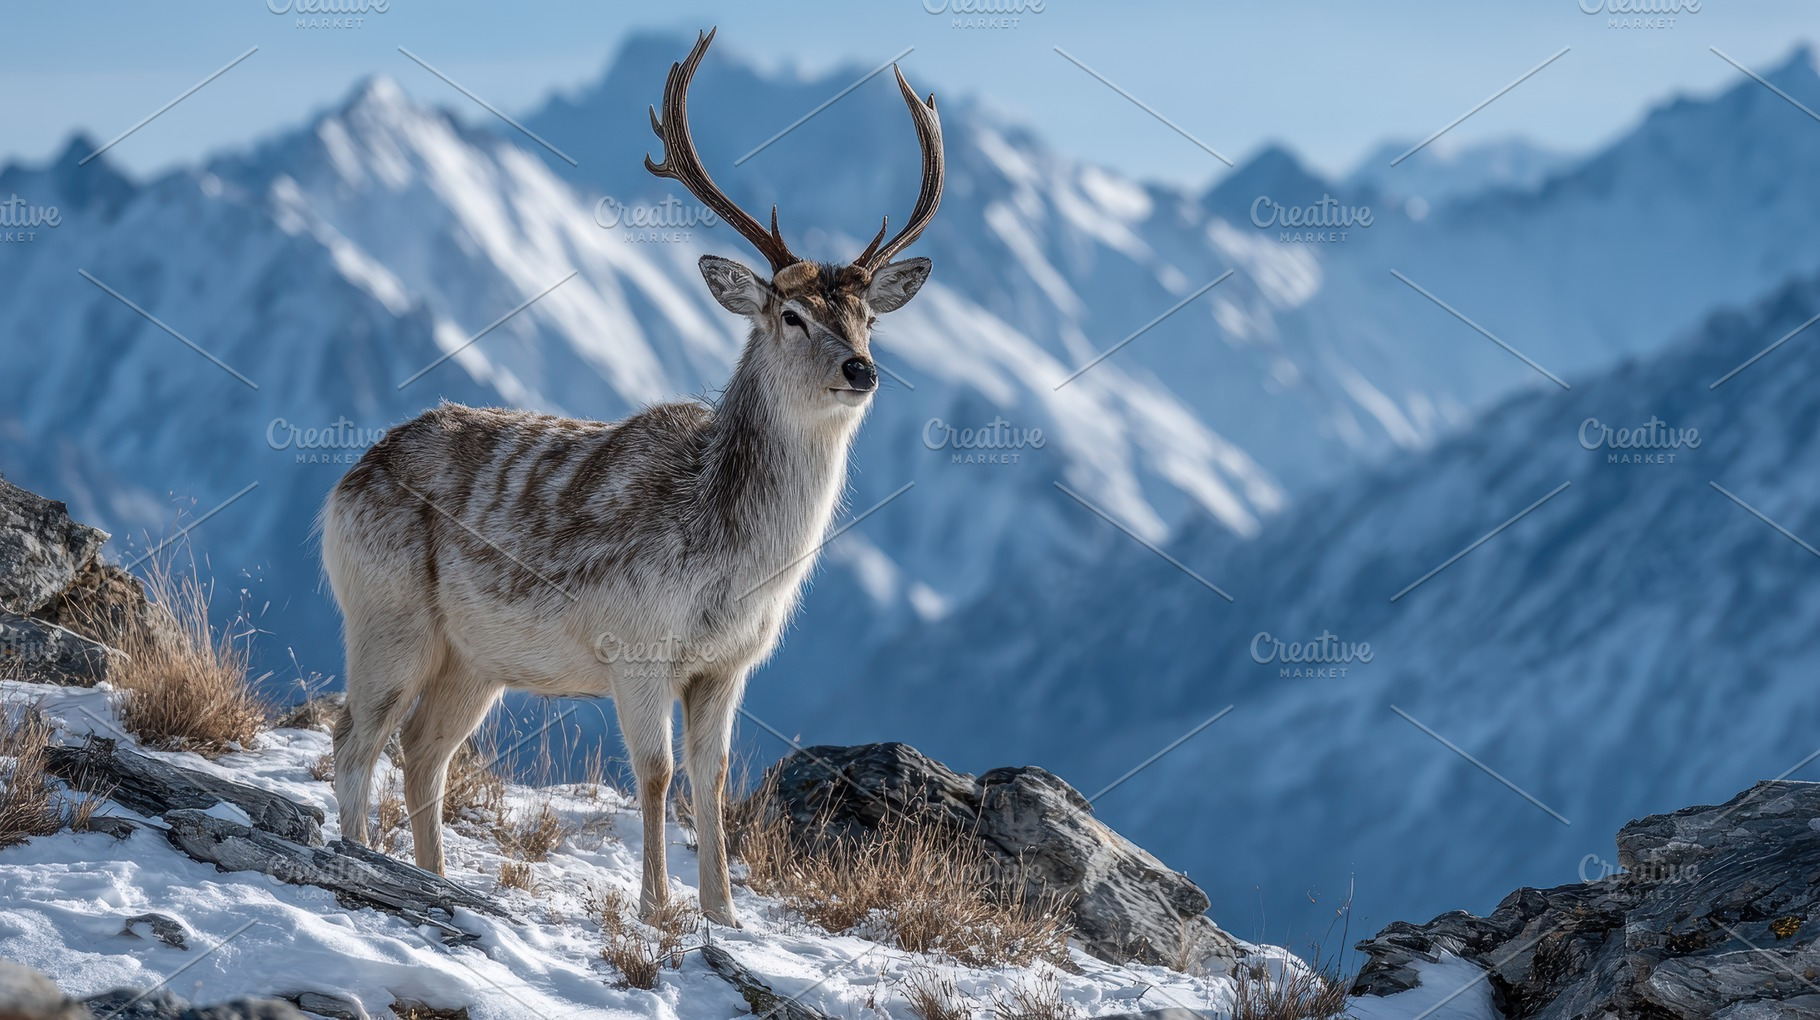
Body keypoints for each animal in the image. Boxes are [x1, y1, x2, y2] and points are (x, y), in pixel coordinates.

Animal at [321, 27, 943, 927]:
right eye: (791, 314)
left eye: (868, 317)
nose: (861, 369)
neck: (730, 560)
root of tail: (344, 481)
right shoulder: (635, 642)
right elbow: (655, 774)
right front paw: (656, 908)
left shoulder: (730, 663)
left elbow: (711, 779)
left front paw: (724, 914)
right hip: (383, 614)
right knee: (354, 735)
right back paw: (360, 858)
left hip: (472, 658)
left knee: (423, 750)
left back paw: (434, 879)